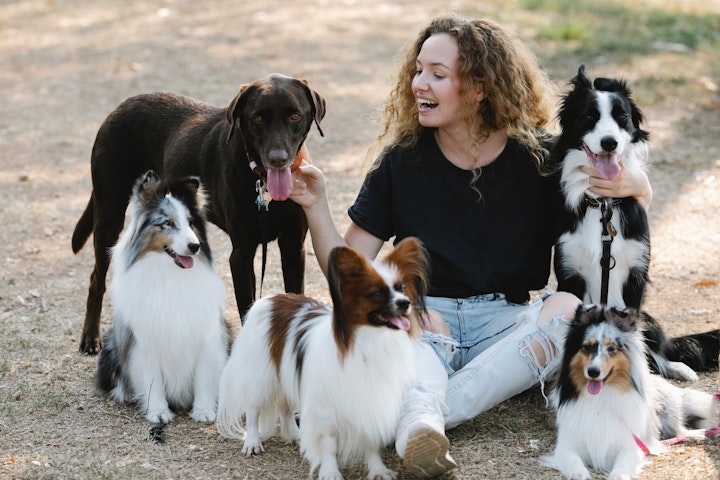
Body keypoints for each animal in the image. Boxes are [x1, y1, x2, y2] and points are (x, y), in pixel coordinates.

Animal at [71, 73, 324, 354]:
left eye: (295, 116)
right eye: (258, 118)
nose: (277, 159)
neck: (263, 185)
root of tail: (121, 106)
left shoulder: (293, 246)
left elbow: (295, 296)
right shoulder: (241, 255)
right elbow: (246, 308)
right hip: (110, 214)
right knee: (97, 279)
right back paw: (91, 338)